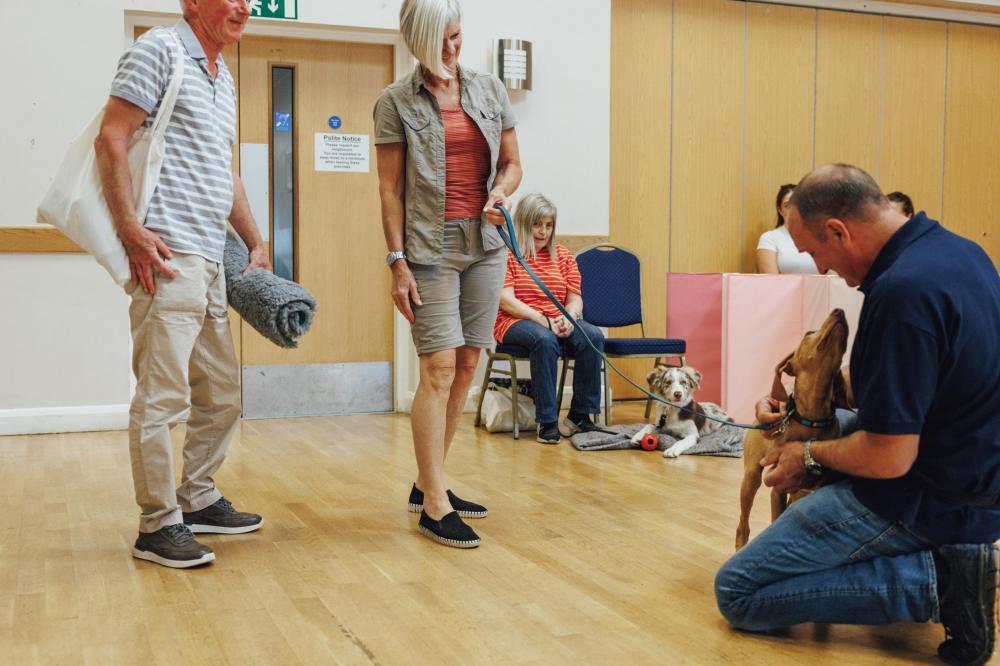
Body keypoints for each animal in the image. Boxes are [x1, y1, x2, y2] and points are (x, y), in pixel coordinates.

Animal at [736, 308, 852, 548]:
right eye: (808, 333)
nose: (839, 310)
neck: (812, 420)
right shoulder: (778, 488)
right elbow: (775, 519)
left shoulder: (811, 487)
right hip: (751, 478)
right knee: (743, 524)